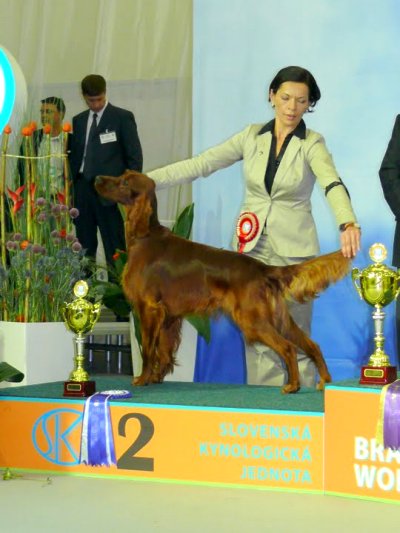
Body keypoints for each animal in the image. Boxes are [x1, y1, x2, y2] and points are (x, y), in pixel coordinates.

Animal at [94, 170, 350, 390]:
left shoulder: (149, 309)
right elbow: (164, 351)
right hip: (280, 319)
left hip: (252, 319)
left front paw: (142, 379)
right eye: (121, 175)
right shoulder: (169, 316)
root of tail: (263, 268)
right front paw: (157, 377)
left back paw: (293, 385)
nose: (97, 178)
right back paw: (324, 381)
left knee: (287, 348)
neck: (145, 236)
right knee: (311, 344)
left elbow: (148, 349)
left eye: (124, 182)